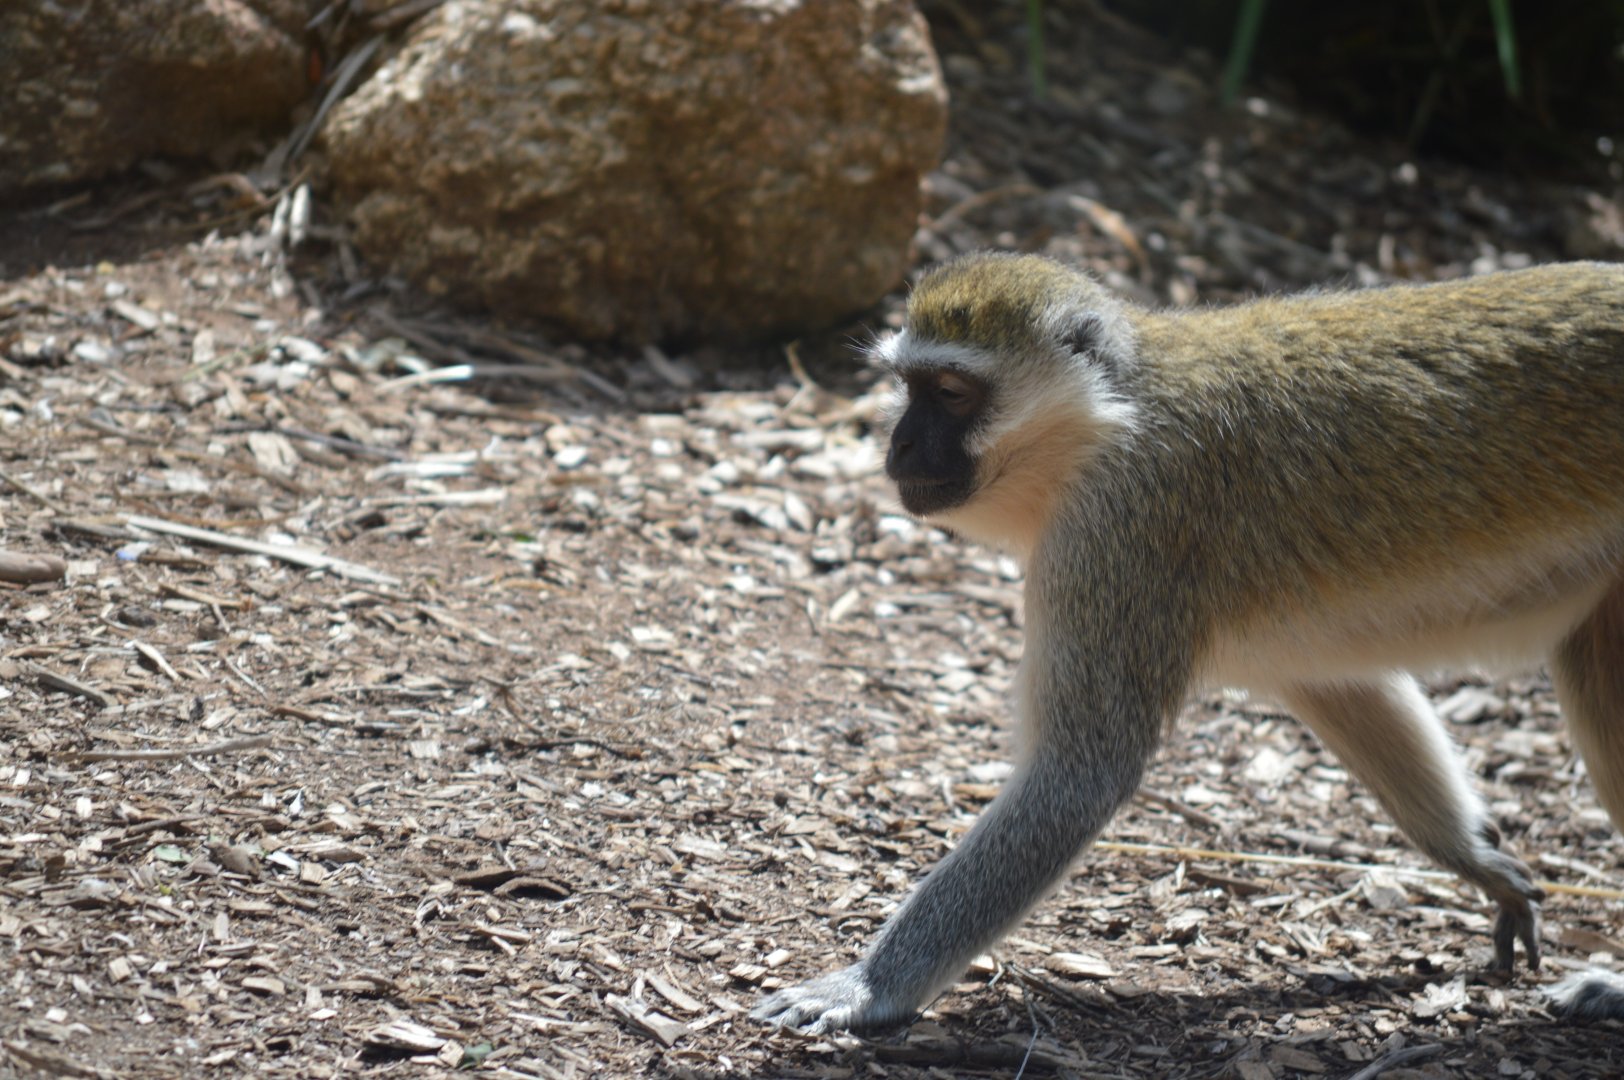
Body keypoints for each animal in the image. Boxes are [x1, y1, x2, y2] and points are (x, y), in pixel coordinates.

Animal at [751, 252, 1624, 1033]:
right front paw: (1478, 860)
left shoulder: (1120, 532)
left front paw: (867, 987)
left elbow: (1082, 773)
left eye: (953, 393)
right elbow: (1337, 682)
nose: (896, 446)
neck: (1110, 420)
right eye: (908, 388)